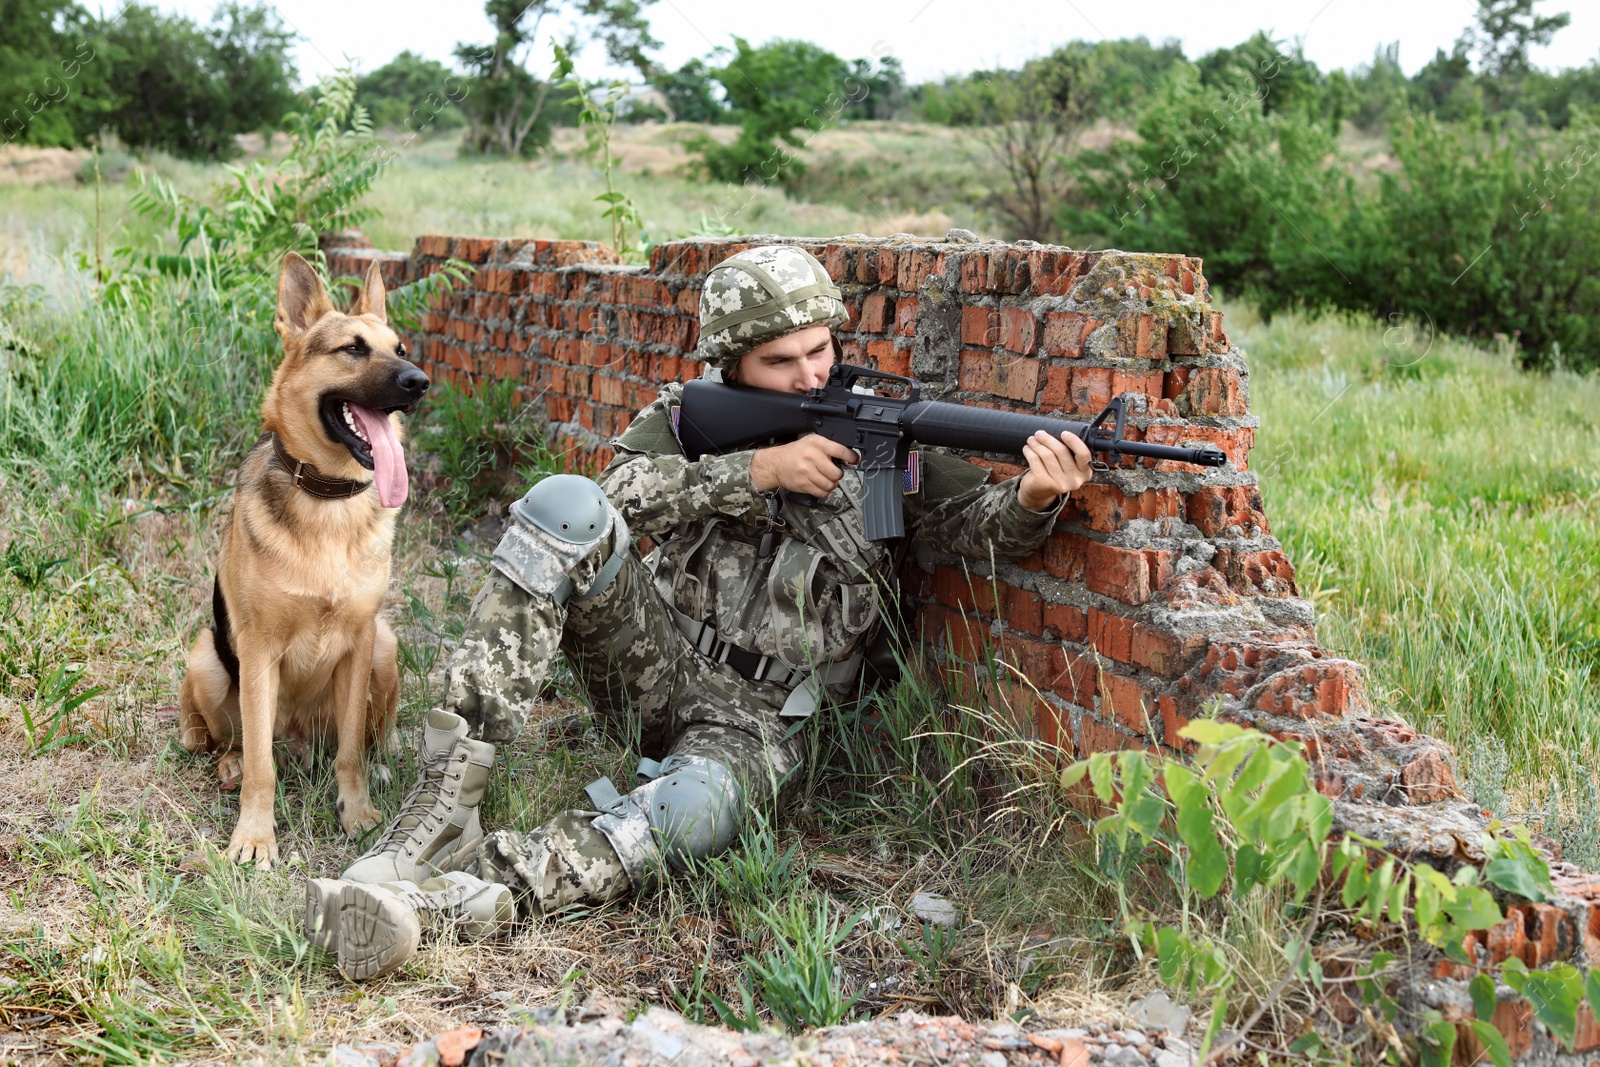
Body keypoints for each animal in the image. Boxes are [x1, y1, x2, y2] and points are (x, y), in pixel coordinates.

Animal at [180, 252, 428, 870]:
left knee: (369, 736)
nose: (419, 383)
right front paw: (254, 837)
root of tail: (297, 739)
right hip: (206, 658)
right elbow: (261, 767)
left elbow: (350, 752)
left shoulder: (361, 641)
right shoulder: (258, 651)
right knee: (231, 741)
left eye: (401, 348)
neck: (327, 502)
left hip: (386, 646)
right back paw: (227, 760)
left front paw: (357, 812)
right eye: (353, 349)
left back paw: (385, 760)